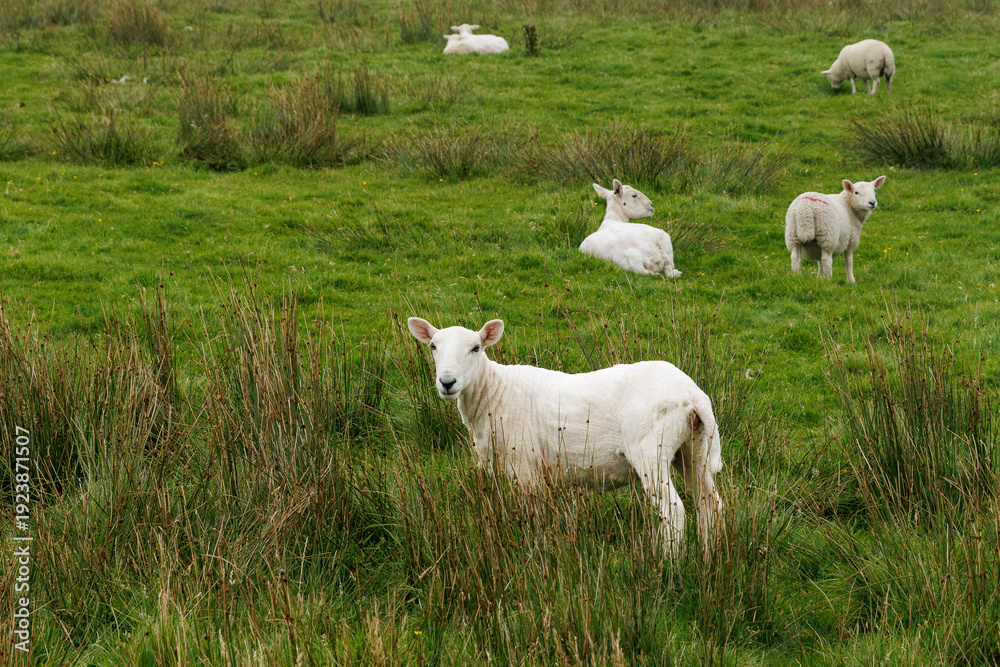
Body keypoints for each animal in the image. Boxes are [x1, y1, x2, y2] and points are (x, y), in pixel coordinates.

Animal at [407, 316, 724, 557]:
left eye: (475, 348)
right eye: (433, 346)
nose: (447, 382)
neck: (494, 393)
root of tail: (693, 394)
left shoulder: (525, 467)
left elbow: (534, 517)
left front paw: (536, 553)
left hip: (651, 451)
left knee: (675, 511)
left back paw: (668, 563)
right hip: (693, 449)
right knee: (710, 504)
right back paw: (710, 557)